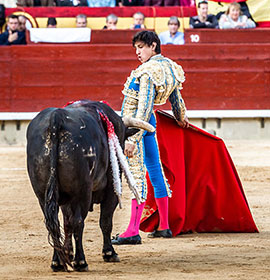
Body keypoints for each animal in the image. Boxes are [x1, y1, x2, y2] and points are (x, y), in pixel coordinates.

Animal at [26, 100, 154, 272]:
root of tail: (56, 118)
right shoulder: (111, 190)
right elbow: (105, 221)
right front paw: (109, 253)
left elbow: (66, 223)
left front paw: (68, 253)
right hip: (82, 193)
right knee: (78, 222)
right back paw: (81, 262)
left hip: (43, 195)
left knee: (54, 223)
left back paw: (57, 262)